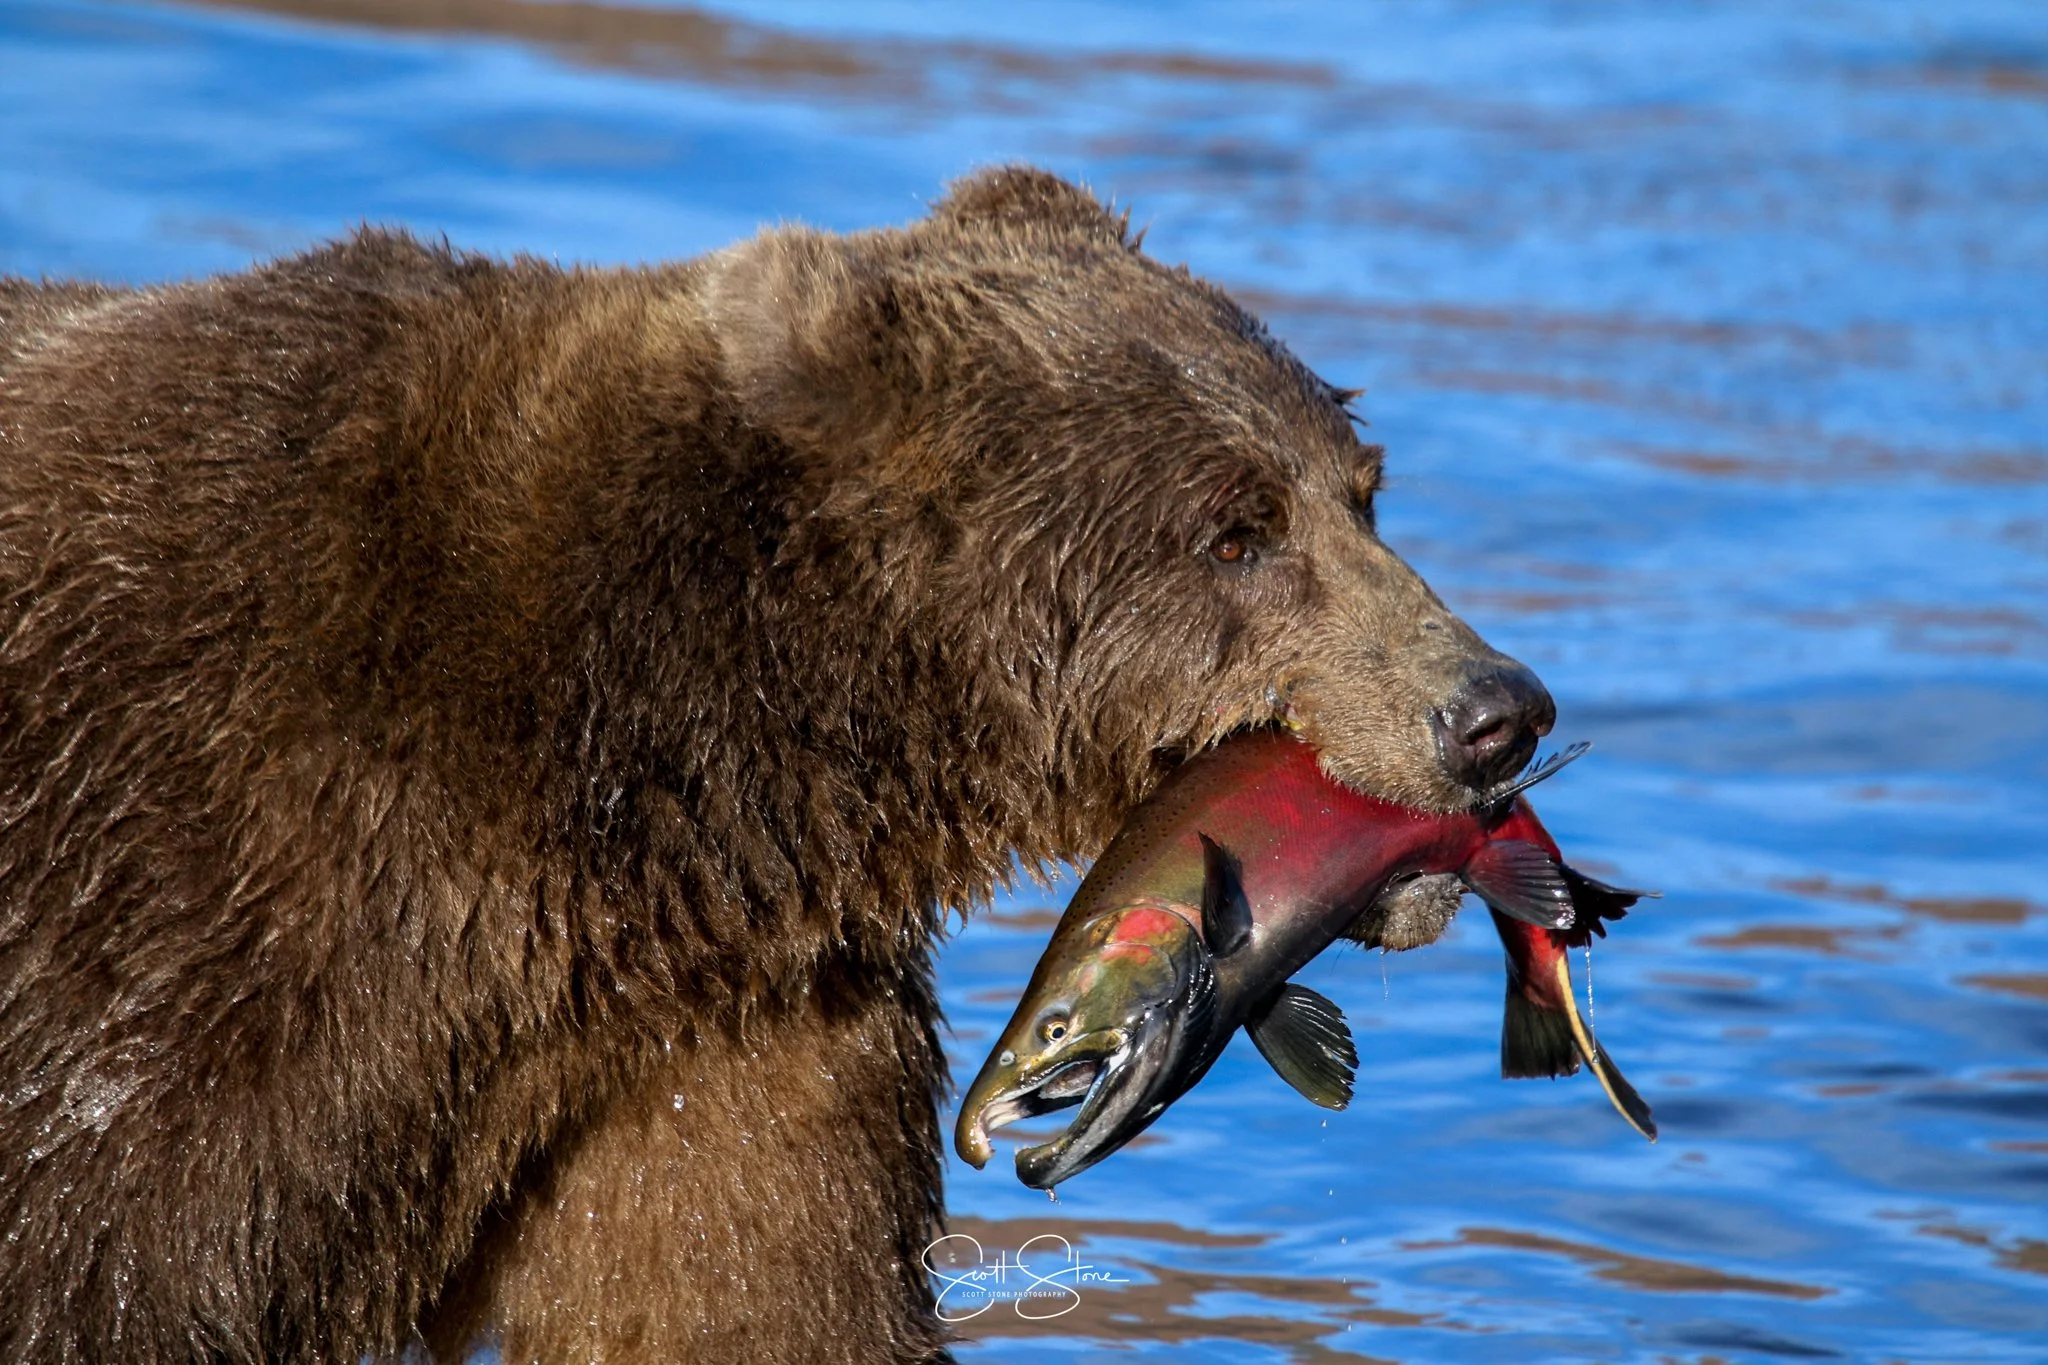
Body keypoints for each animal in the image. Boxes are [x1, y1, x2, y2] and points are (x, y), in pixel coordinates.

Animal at [0, 168, 1553, 1363]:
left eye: (1359, 490)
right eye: (1232, 530)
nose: (1495, 711)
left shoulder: (709, 1031)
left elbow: (752, 1293)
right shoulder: (189, 916)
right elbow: (116, 1257)